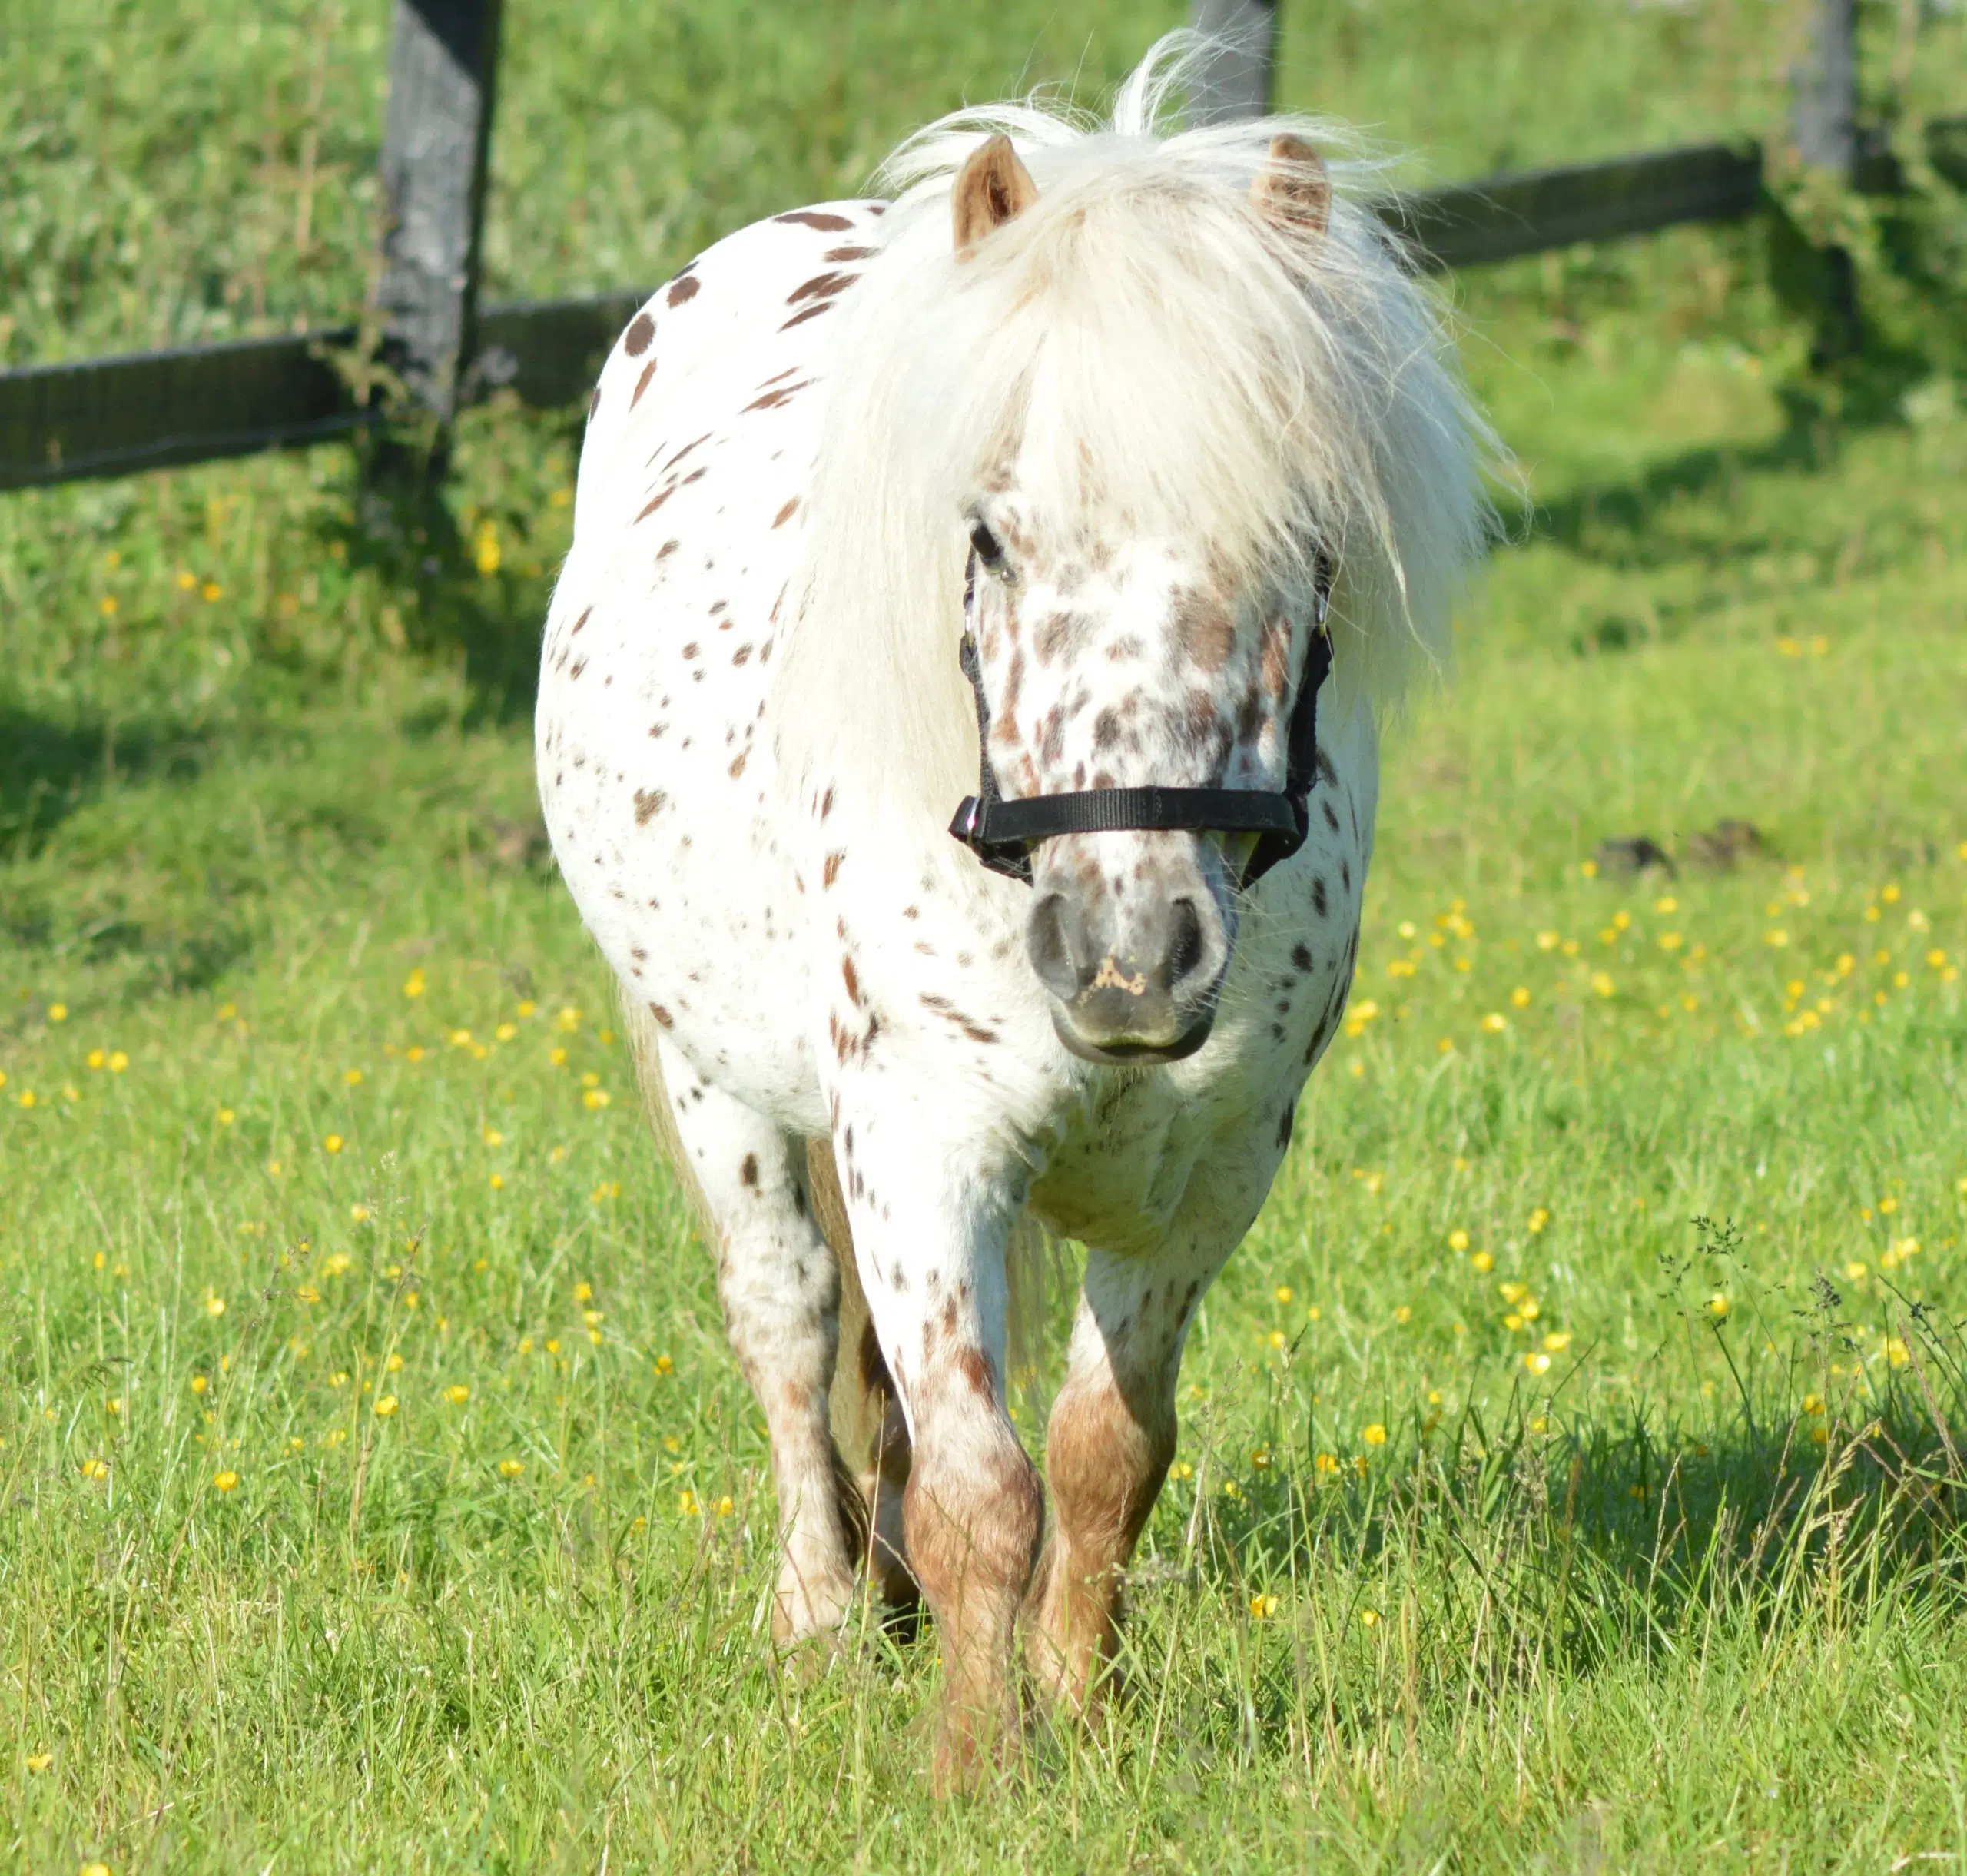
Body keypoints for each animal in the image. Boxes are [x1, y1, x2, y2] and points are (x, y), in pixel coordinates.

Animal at [539, 32, 1487, 1785]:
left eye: (1304, 544)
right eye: (988, 534)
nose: (1130, 957)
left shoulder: (1206, 1180)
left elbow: (1104, 1452)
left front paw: (1081, 1710)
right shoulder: (919, 1146)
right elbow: (987, 1486)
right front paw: (977, 1766)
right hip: (718, 1082)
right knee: (787, 1330)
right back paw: (823, 1614)